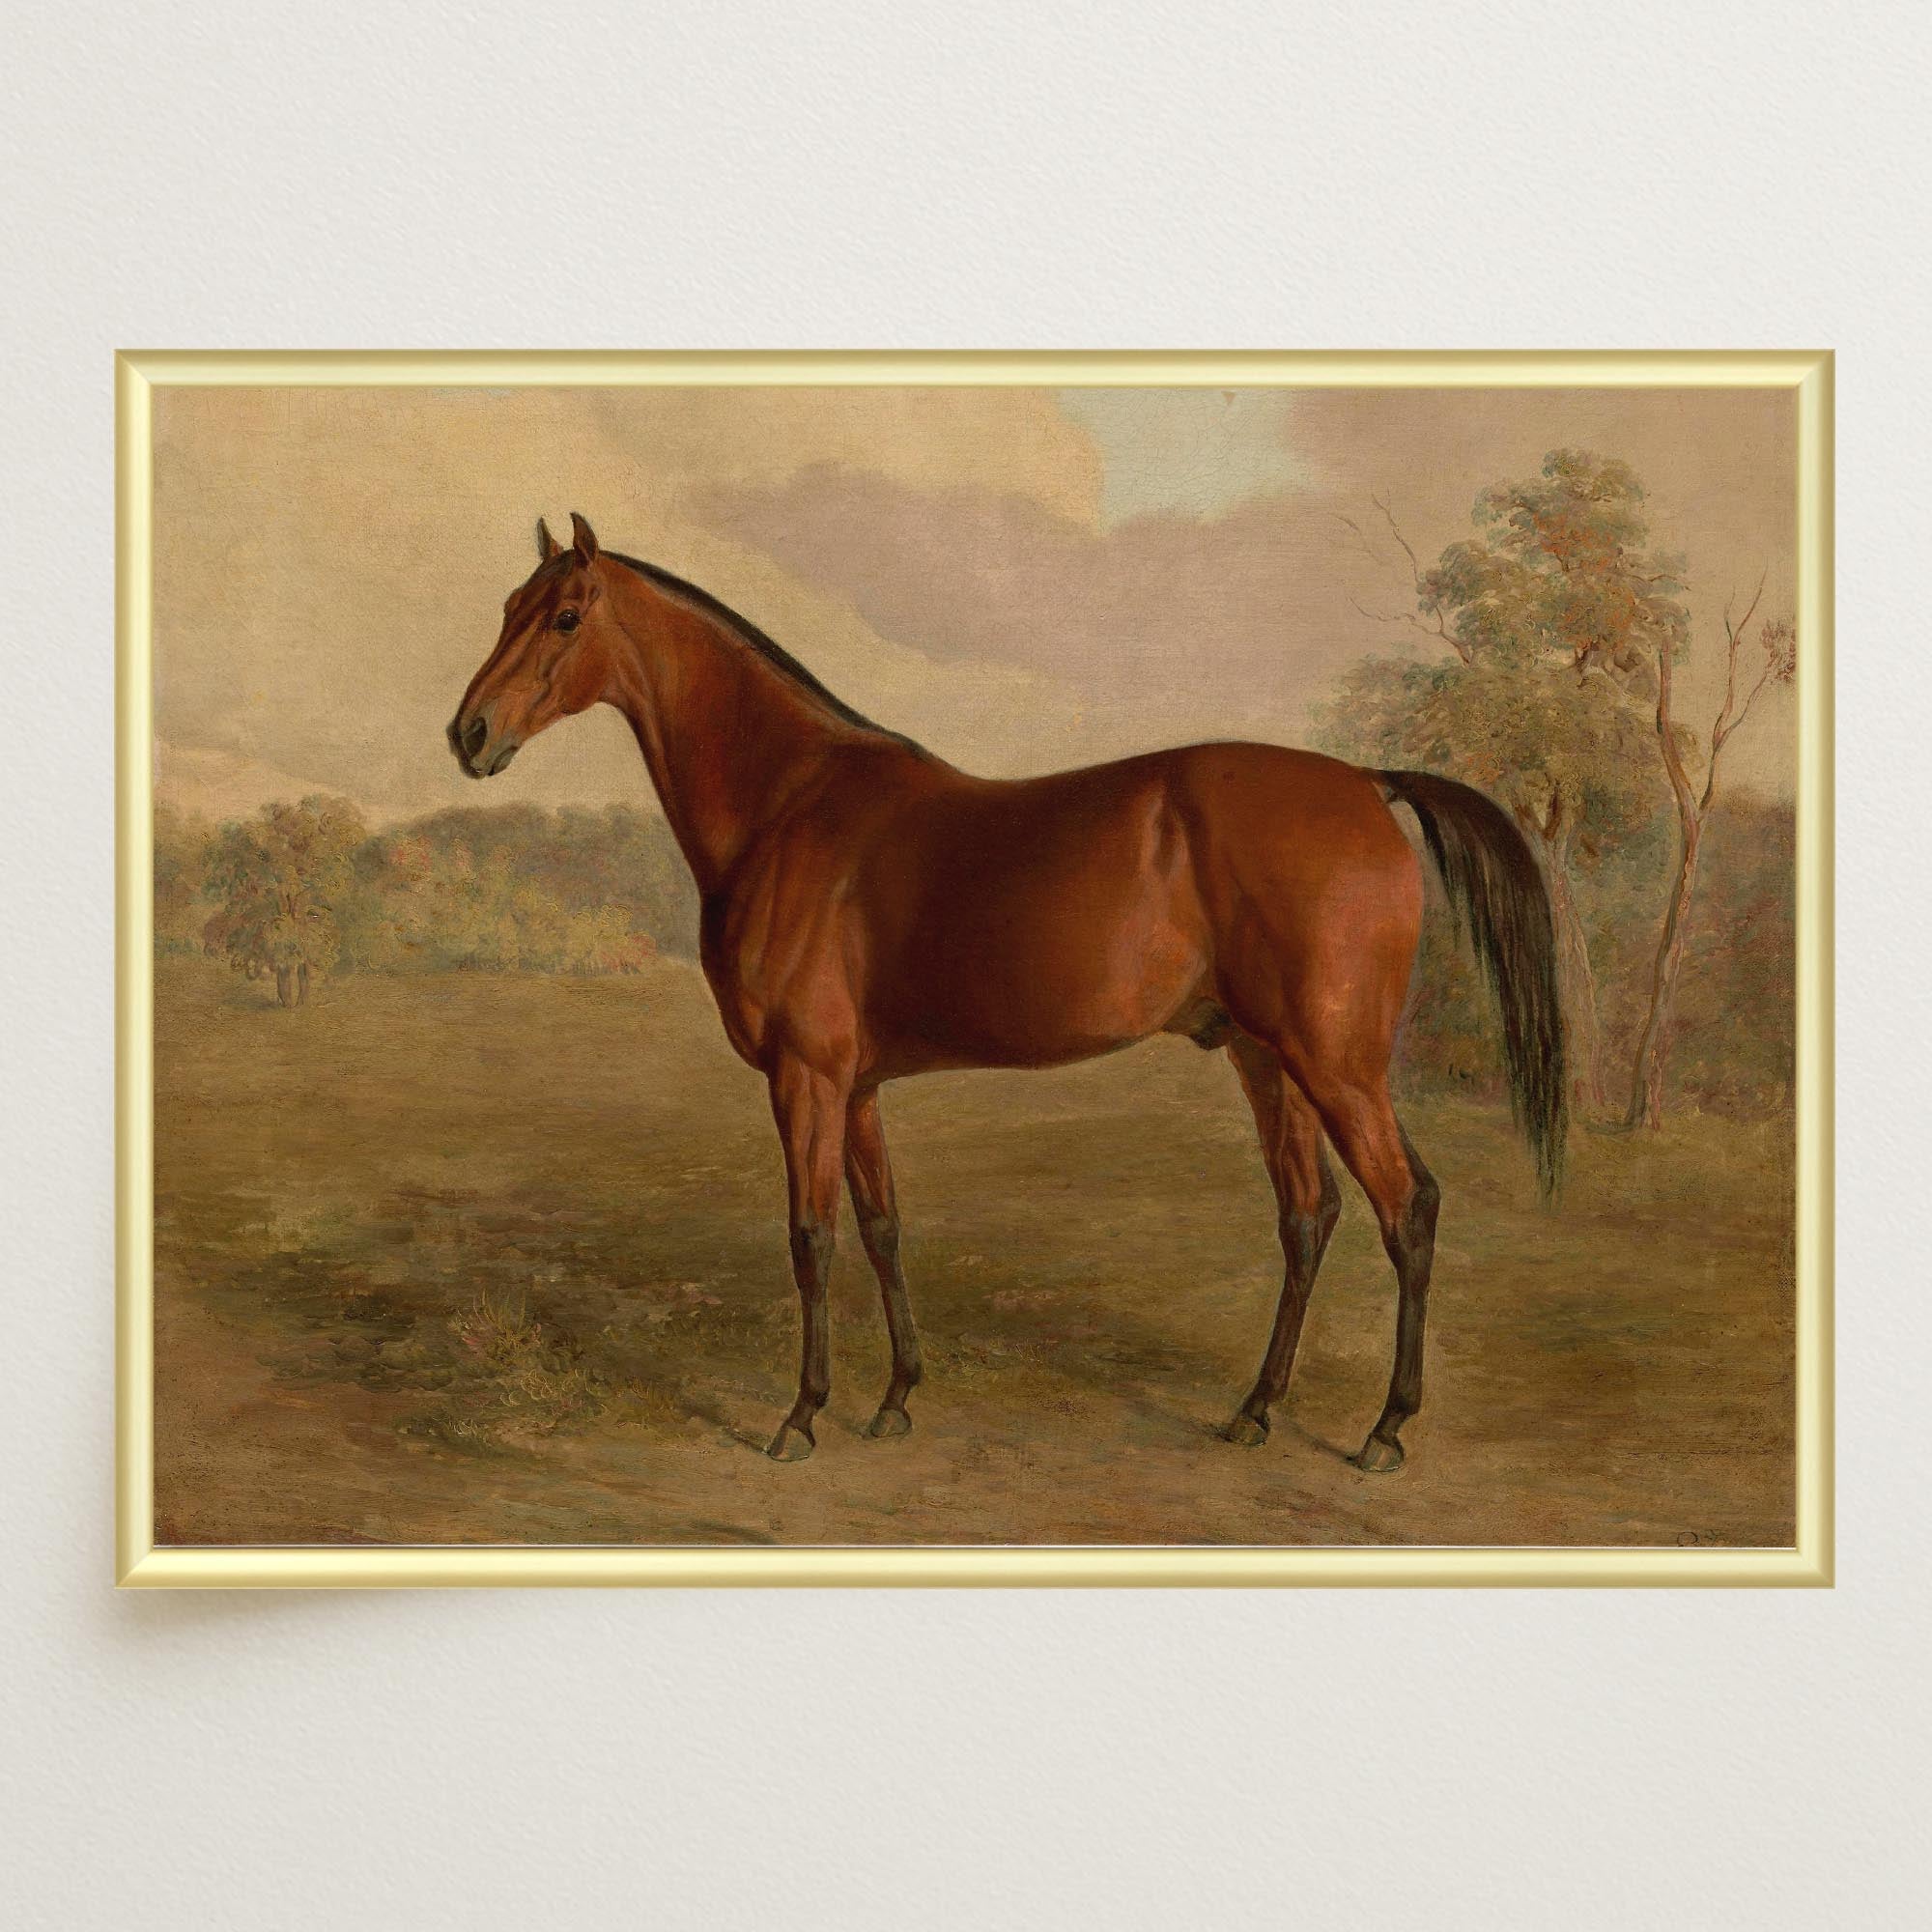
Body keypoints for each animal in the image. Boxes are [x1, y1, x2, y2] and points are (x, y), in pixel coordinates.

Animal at [450, 513, 1565, 1472]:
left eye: (563, 616)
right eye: (505, 604)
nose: (468, 734)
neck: (789, 805)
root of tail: (1366, 784)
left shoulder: (805, 1078)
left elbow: (810, 1237)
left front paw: (800, 1416)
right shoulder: (856, 1087)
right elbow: (881, 1227)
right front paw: (896, 1398)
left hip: (1336, 1062)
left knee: (1405, 1207)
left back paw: (1385, 1428)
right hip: (1269, 1058)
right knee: (1308, 1214)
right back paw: (1254, 1409)